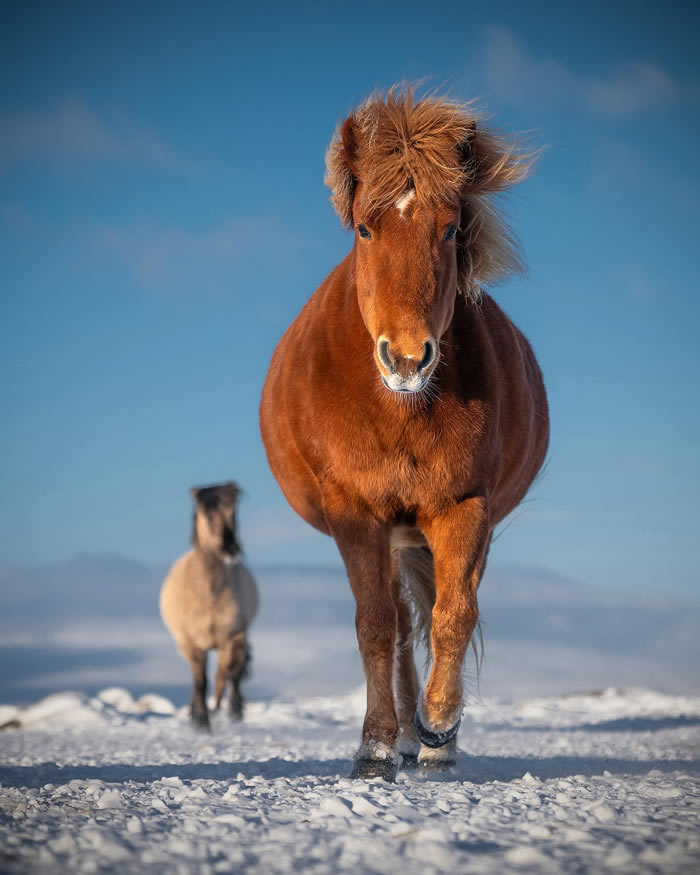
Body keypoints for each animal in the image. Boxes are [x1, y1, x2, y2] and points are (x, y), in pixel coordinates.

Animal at [260, 89, 548, 784]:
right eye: (365, 228)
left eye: (450, 228)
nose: (409, 358)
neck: (399, 409)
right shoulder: (355, 513)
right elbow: (374, 627)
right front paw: (375, 747)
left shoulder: (465, 506)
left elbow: (454, 613)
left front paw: (440, 727)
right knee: (392, 628)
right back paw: (401, 736)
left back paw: (431, 739)